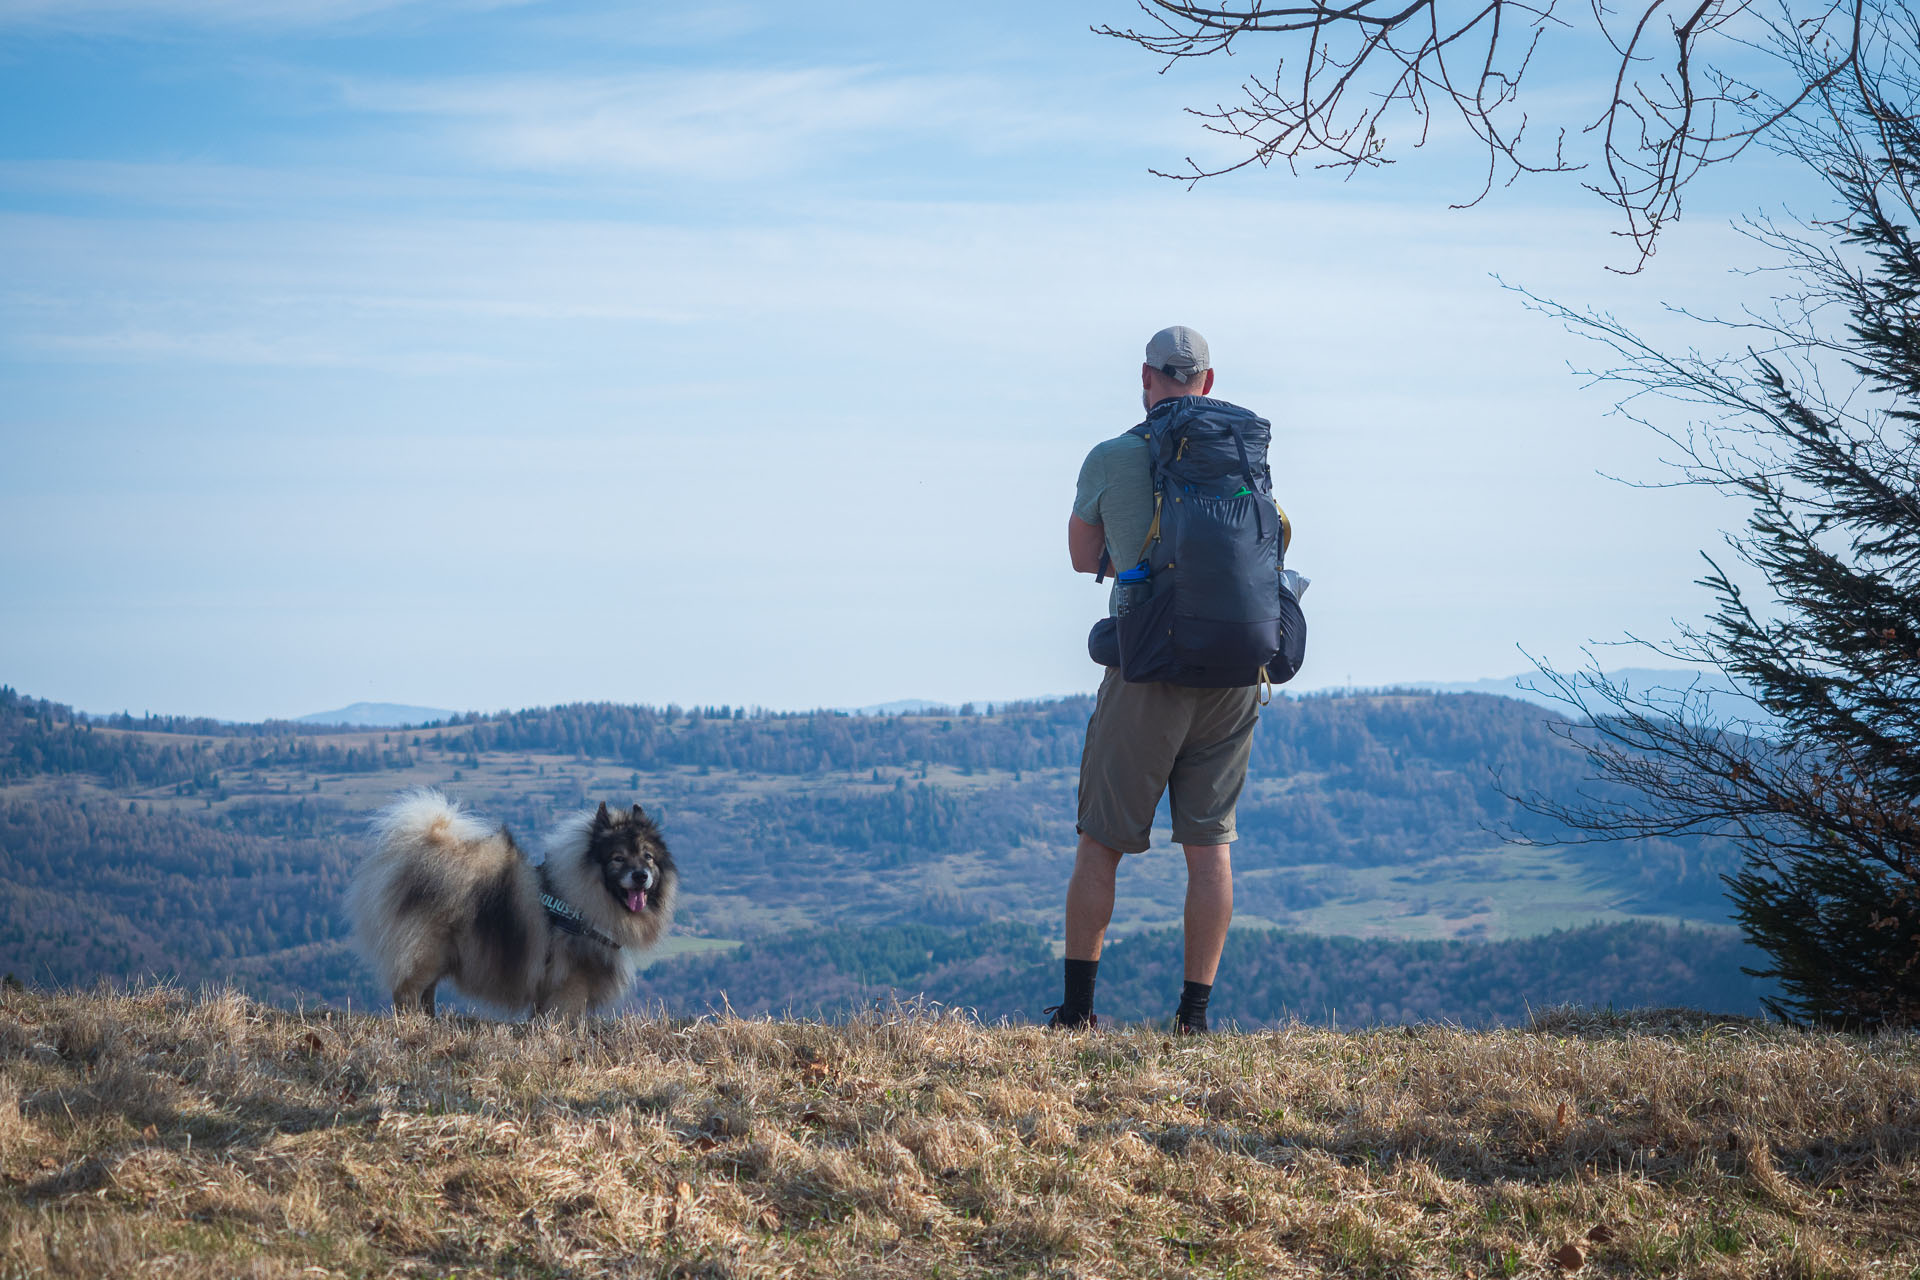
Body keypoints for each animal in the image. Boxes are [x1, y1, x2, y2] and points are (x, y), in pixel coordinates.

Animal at [349, 786, 679, 1013]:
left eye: (648, 857)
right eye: (618, 858)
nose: (640, 876)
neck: (585, 897)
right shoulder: (571, 986)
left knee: (425, 994)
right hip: (426, 955)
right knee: (406, 994)